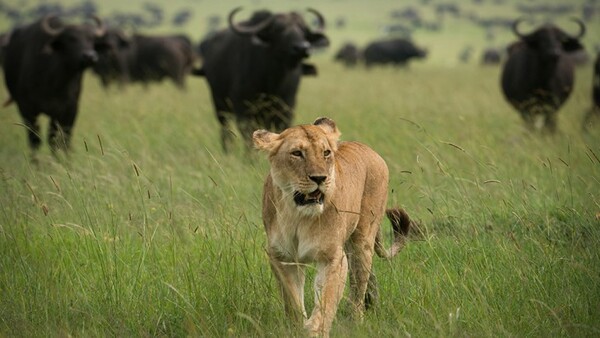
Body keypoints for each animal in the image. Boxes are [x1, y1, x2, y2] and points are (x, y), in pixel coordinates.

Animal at [2, 15, 105, 156]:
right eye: (71, 38)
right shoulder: (27, 109)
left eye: (91, 39)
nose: (90, 56)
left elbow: (58, 140)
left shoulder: (68, 110)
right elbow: (35, 140)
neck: (55, 83)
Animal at [195, 6, 328, 152]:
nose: (302, 47)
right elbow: (248, 136)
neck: (272, 82)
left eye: (303, 30)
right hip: (220, 105)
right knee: (225, 130)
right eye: (278, 29)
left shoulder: (286, 109)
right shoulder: (243, 109)